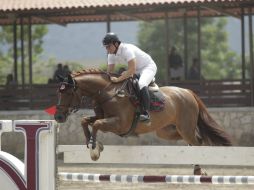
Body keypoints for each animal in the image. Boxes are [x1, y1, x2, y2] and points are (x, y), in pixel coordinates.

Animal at [54, 68, 233, 175]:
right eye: (59, 92)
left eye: (68, 92)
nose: (58, 117)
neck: (107, 93)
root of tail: (188, 92)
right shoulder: (104, 118)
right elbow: (85, 120)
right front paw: (92, 143)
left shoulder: (120, 124)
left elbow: (96, 124)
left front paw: (94, 150)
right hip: (167, 131)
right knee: (194, 141)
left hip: (185, 127)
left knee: (197, 142)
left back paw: (198, 170)